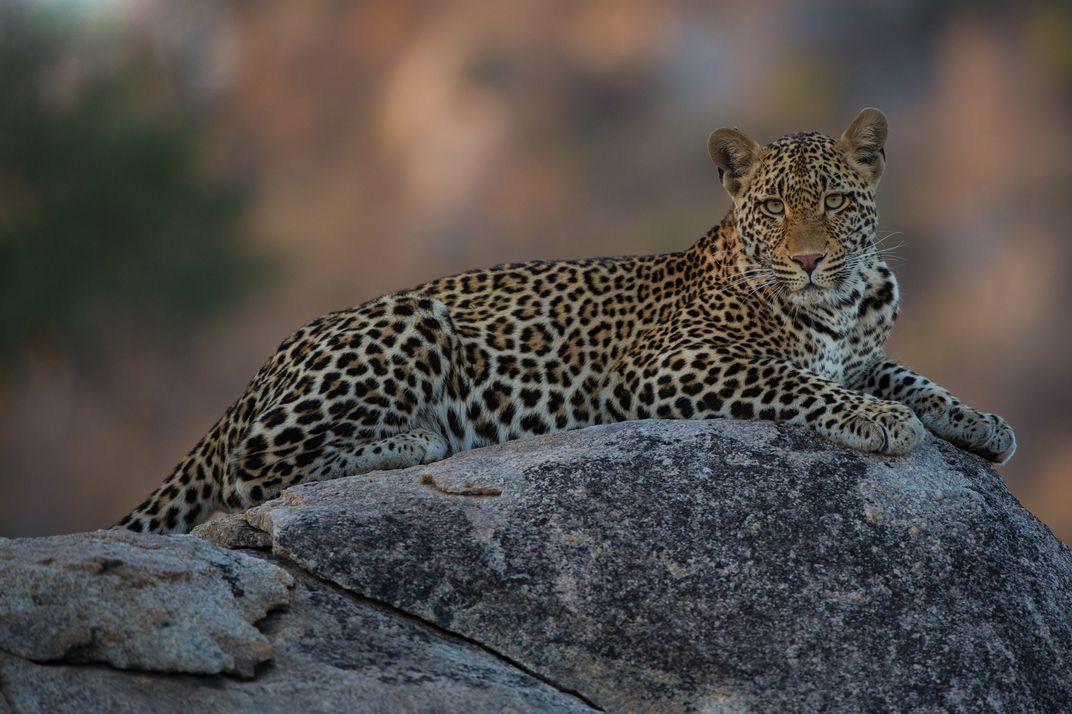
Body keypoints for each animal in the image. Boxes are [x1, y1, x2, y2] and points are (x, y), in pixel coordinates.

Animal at [115, 109, 1011, 533]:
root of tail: (258, 370)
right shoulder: (675, 364)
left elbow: (909, 376)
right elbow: (801, 384)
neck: (839, 300)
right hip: (408, 323)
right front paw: (878, 420)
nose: (811, 259)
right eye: (772, 210)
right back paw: (417, 439)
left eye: (833, 203)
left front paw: (981, 421)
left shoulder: (860, 349)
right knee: (250, 469)